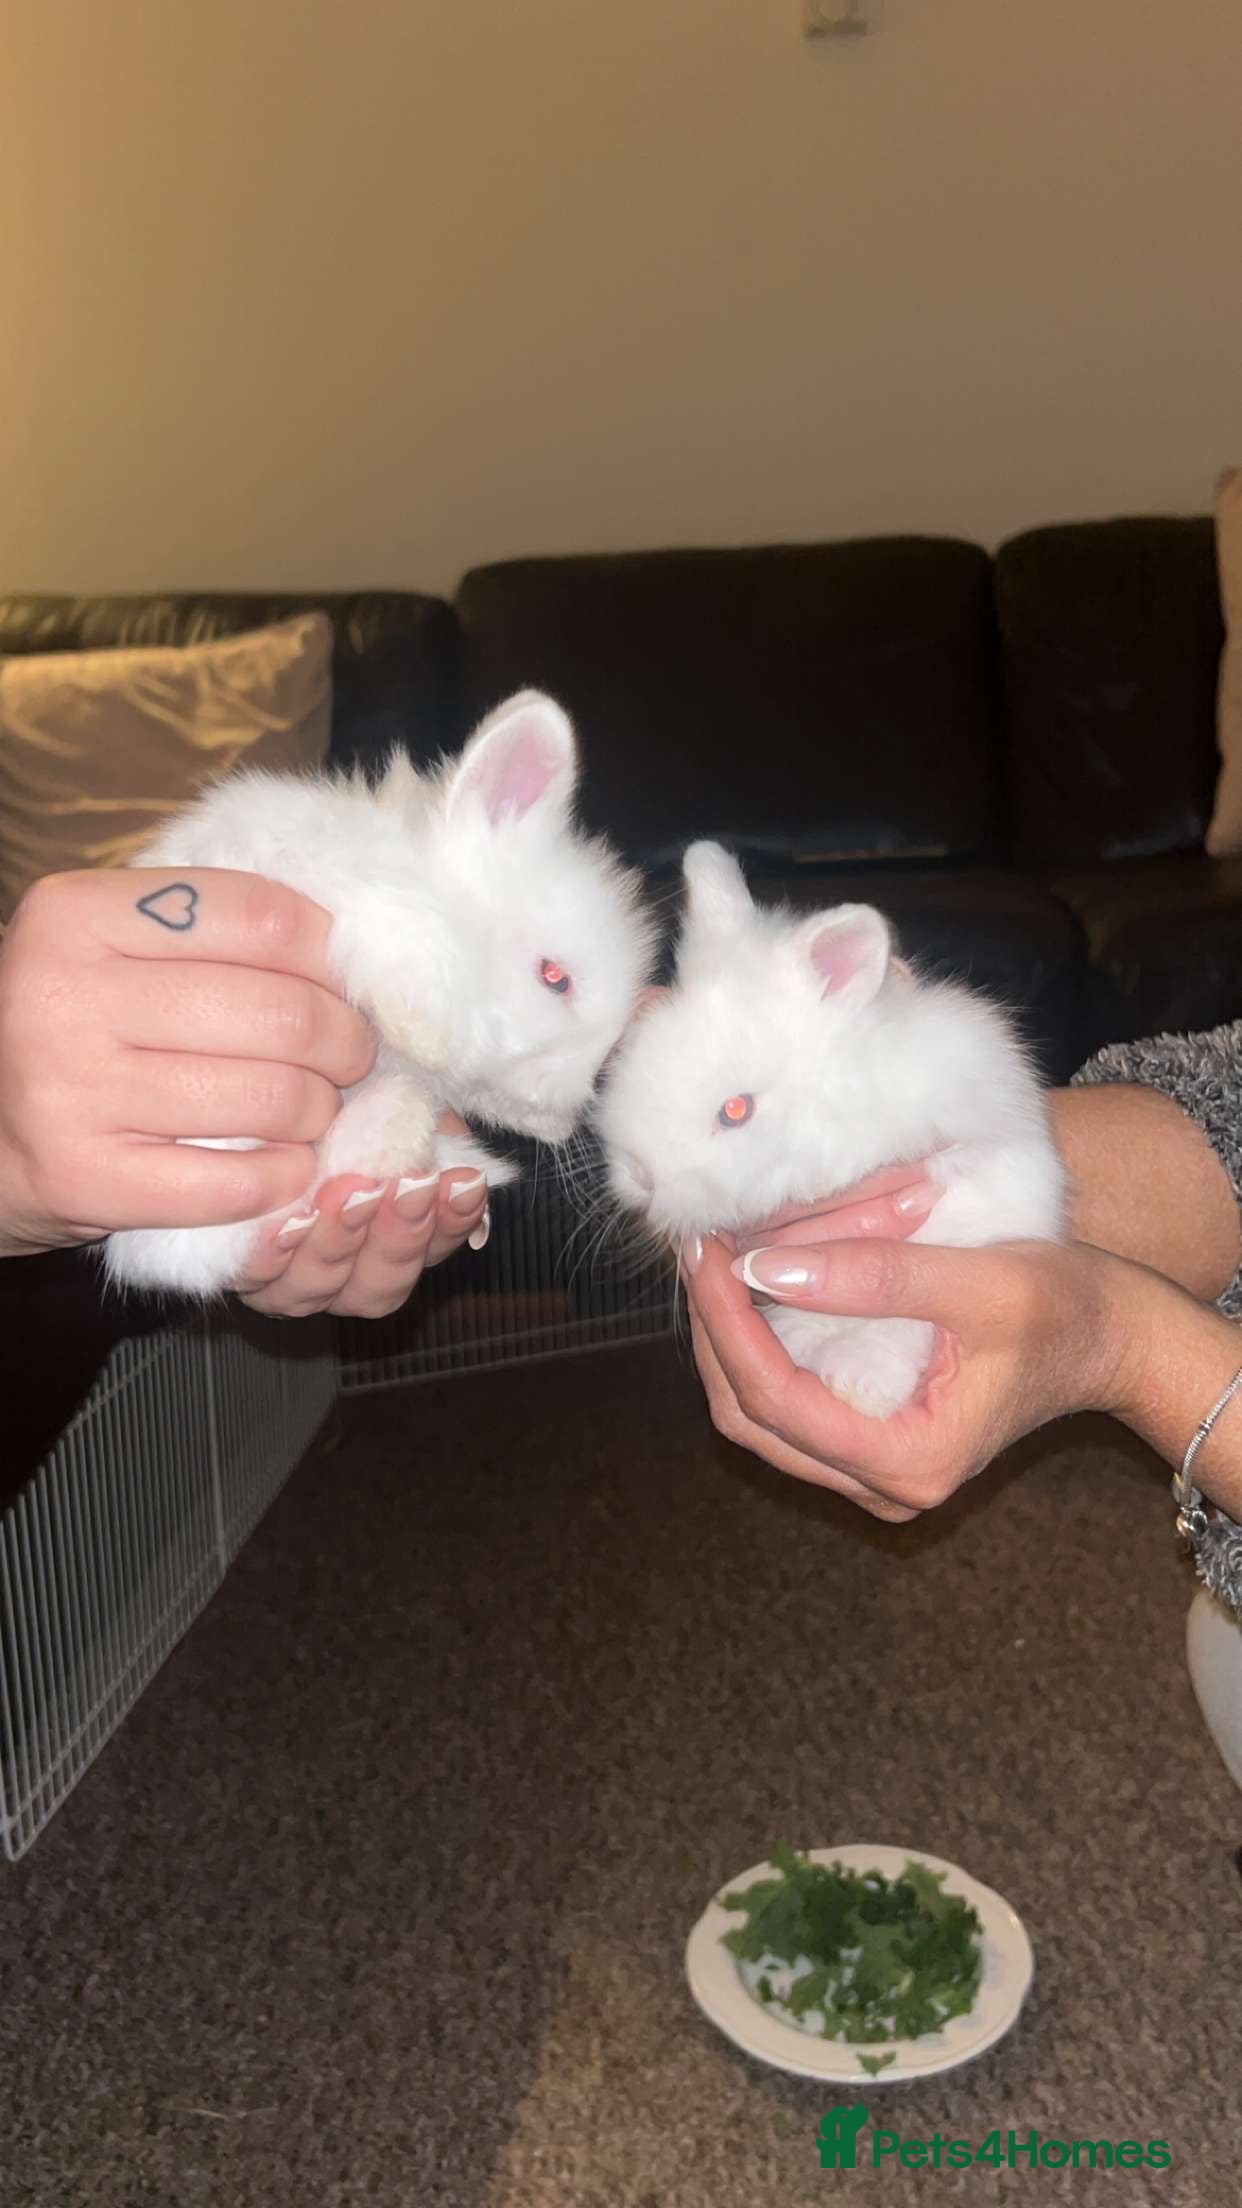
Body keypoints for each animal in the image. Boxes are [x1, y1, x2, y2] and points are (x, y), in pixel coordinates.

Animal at [106, 690, 656, 1297]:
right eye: (554, 976)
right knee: (192, 1245)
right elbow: (401, 955)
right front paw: (426, 1035)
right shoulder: (358, 900)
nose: (590, 1085)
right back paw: (399, 1120)